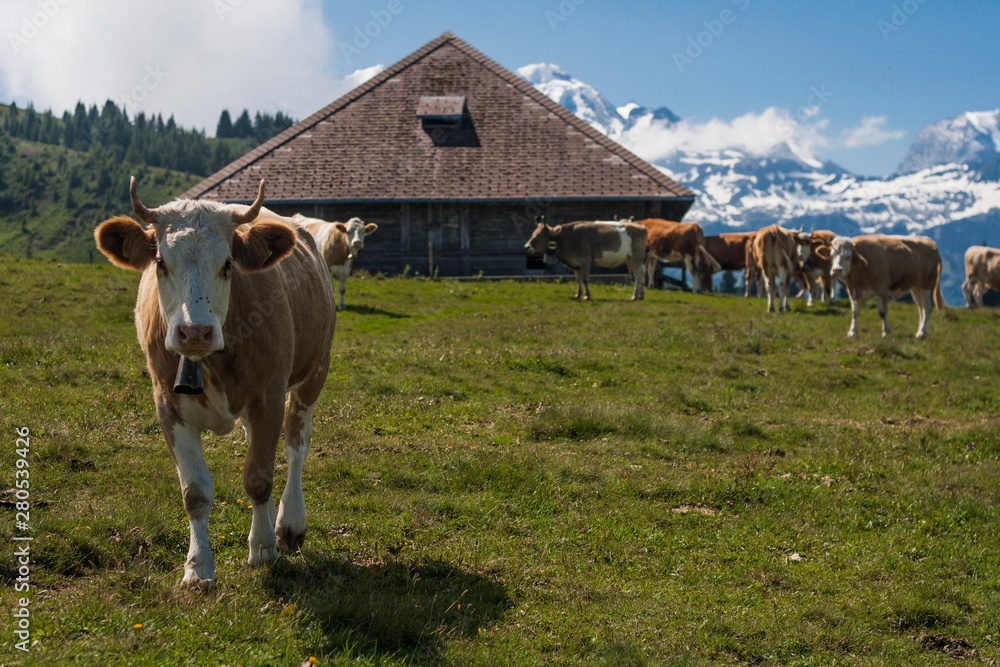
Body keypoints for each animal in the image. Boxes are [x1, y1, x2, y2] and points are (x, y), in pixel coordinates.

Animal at [94, 179, 336, 588]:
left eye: (227, 265)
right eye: (161, 263)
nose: (195, 332)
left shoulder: (269, 397)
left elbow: (259, 477)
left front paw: (263, 549)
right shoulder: (167, 404)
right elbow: (195, 492)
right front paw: (198, 567)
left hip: (314, 374)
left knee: (295, 447)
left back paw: (288, 524)